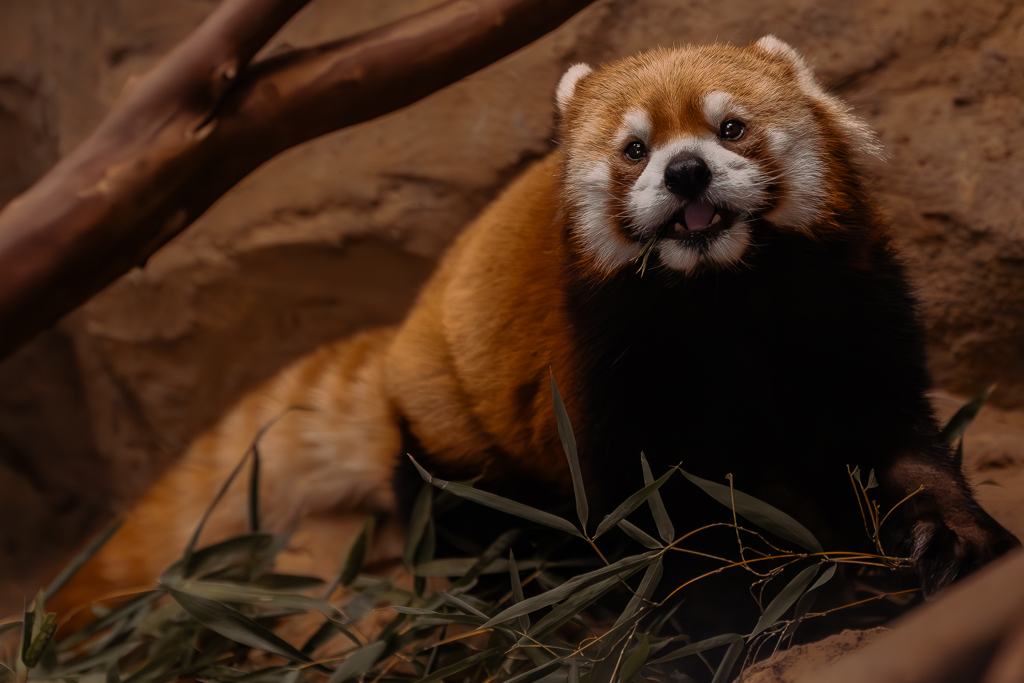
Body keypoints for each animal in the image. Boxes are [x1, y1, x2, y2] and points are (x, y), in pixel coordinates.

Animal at [56, 36, 1015, 614]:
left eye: (732, 128)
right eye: (635, 149)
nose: (688, 172)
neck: (724, 293)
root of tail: (402, 335)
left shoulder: (851, 306)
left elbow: (897, 437)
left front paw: (953, 539)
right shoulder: (609, 368)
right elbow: (659, 515)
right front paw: (736, 606)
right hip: (457, 443)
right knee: (474, 527)